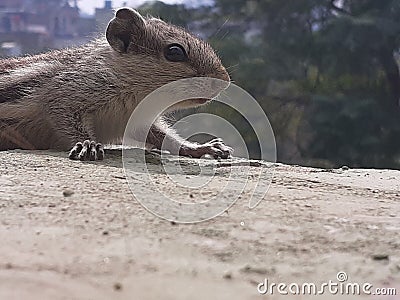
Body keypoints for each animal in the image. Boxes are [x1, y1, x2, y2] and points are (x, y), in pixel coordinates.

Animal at [0, 7, 231, 159]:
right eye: (174, 52)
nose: (225, 81)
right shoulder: (66, 94)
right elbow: (64, 118)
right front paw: (88, 144)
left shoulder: (138, 120)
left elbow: (165, 137)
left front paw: (201, 148)